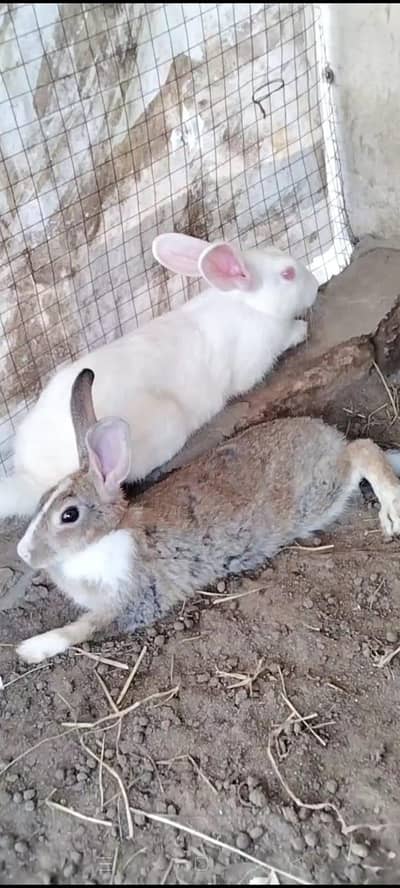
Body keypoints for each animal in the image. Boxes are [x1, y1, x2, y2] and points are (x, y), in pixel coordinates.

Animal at [0, 233, 318, 521]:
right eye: (288, 274)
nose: (315, 285)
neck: (250, 305)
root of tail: (31, 475)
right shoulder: (253, 359)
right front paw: (300, 330)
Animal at [15, 367, 400, 664]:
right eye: (41, 502)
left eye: (69, 515)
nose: (22, 552)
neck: (105, 537)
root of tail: (329, 435)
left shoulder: (137, 599)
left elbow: (81, 628)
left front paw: (29, 648)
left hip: (320, 491)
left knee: (363, 450)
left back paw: (392, 511)